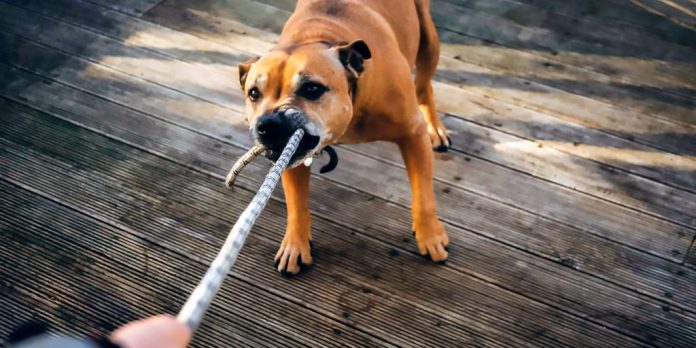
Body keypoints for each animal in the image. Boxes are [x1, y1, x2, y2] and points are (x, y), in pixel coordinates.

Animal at [237, 0, 448, 274]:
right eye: (253, 93)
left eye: (312, 89)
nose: (268, 124)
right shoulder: (292, 158)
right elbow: (296, 204)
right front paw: (295, 245)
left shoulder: (413, 134)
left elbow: (423, 195)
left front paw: (430, 236)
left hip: (429, 42)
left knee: (424, 86)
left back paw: (436, 128)